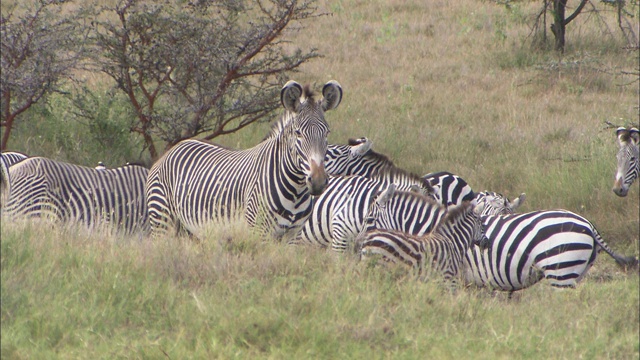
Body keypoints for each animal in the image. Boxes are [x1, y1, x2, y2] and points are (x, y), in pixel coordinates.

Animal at [146, 80, 344, 240]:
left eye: (327, 133)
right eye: (298, 133)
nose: (318, 181)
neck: (296, 190)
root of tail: (174, 148)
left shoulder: (293, 236)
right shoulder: (259, 231)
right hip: (162, 219)